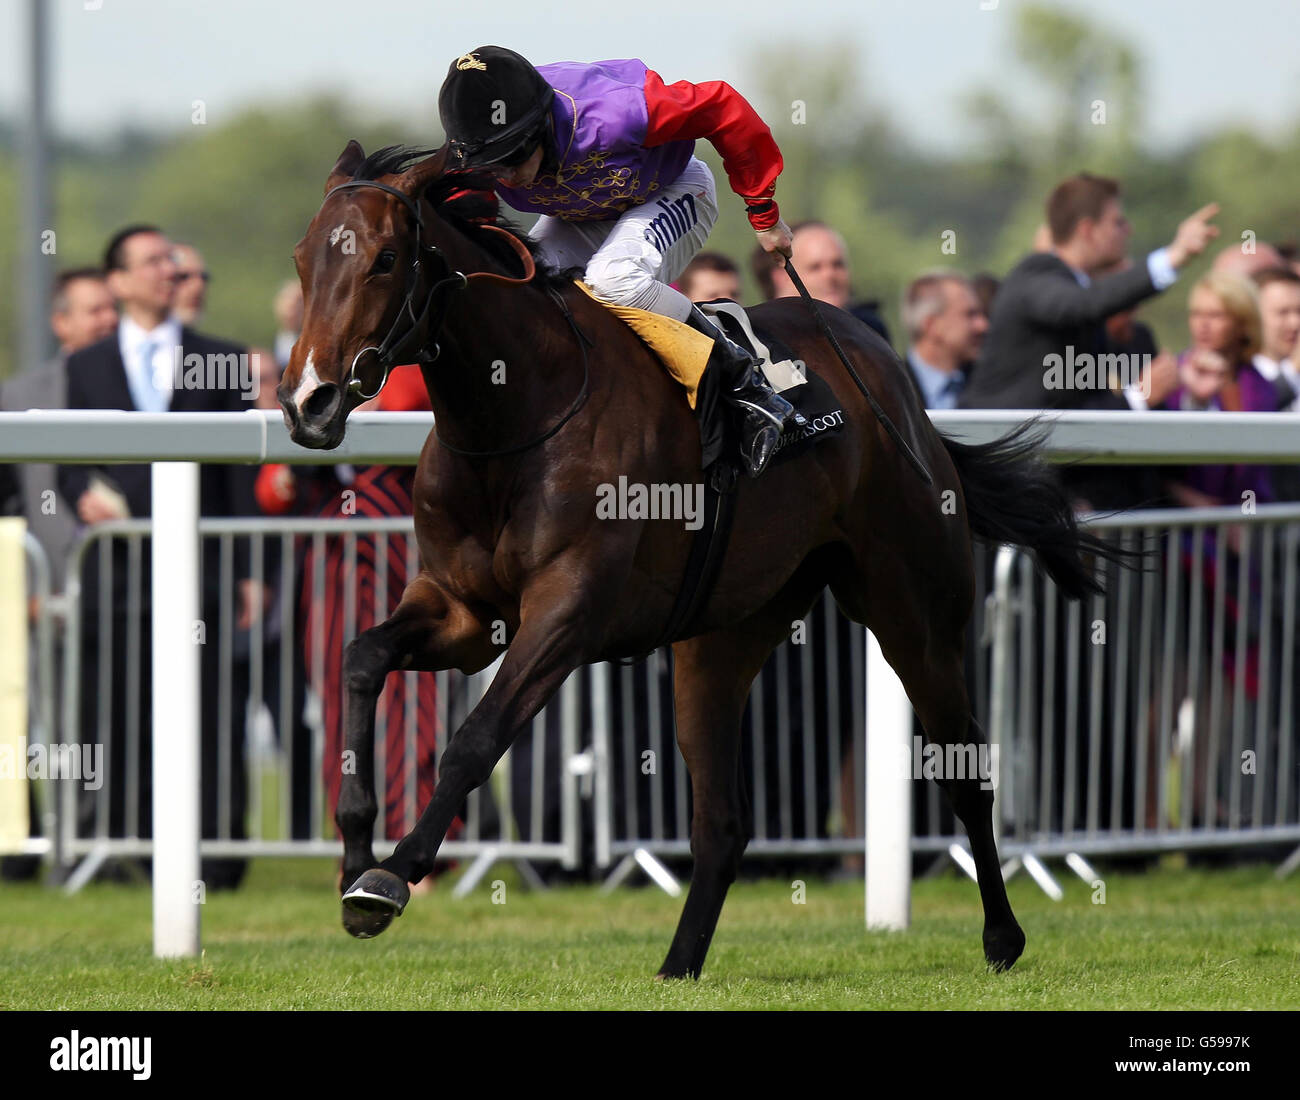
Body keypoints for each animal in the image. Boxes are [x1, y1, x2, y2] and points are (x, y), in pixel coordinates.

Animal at [282, 139, 1107, 982]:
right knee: (722, 822)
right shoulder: (463, 612)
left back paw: (1002, 937)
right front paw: (354, 849)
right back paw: (677, 964)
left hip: (915, 611)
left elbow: (477, 738)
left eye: (385, 259)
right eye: (303, 259)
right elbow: (361, 658)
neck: (516, 415)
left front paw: (389, 876)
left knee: (965, 771)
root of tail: (897, 387)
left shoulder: (567, 614)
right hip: (722, 637)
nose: (309, 401)